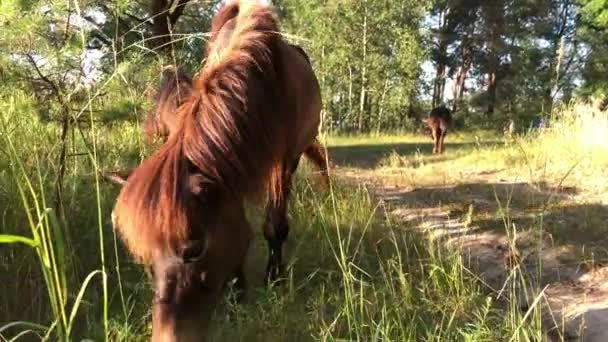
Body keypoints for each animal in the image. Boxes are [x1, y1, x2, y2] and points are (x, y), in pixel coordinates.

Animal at [112, 2, 326, 340]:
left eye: (194, 249)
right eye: (145, 260)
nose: (168, 335)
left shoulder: (282, 162)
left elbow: (274, 226)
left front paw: (273, 280)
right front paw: (238, 290)